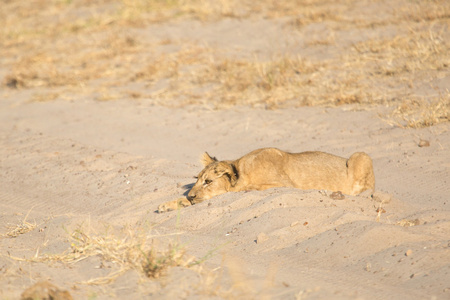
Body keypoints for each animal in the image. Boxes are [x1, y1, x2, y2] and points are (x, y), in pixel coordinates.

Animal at [156, 148, 374, 213]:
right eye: (197, 179)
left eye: (208, 181)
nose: (192, 195)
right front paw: (167, 205)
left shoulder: (282, 183)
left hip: (361, 156)